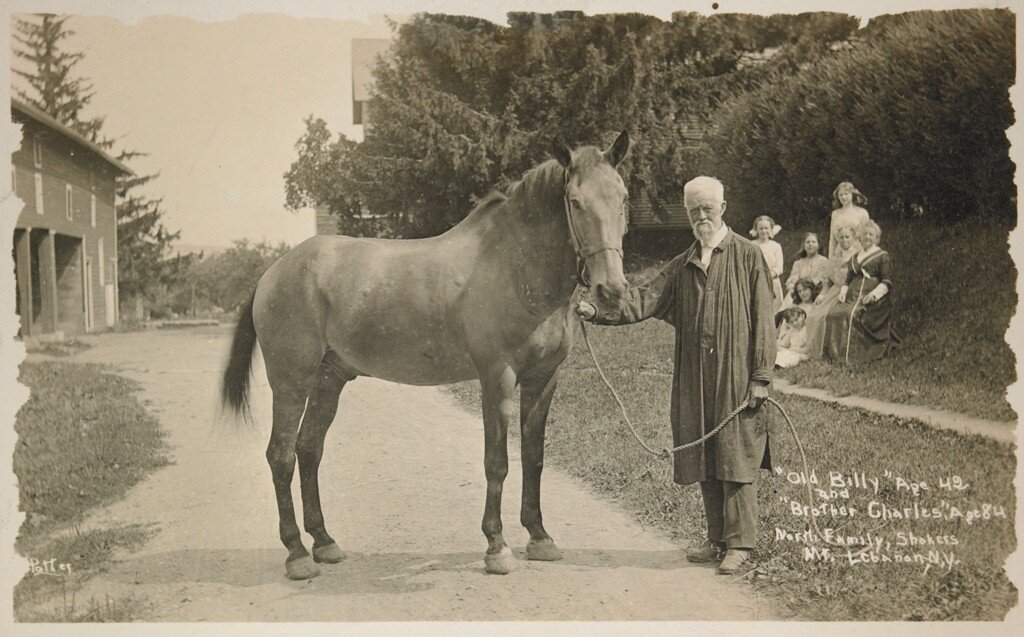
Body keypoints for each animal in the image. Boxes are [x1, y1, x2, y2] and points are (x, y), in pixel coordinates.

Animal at [220, 132, 626, 581]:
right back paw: (296, 553)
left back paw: (324, 542)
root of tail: (272, 273)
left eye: (623, 197)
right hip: (290, 384)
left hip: (329, 379)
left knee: (309, 450)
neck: (513, 265)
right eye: (575, 202)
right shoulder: (497, 377)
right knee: (281, 455)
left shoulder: (544, 378)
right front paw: (496, 546)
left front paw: (539, 537)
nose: (611, 289)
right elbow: (497, 461)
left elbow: (533, 456)